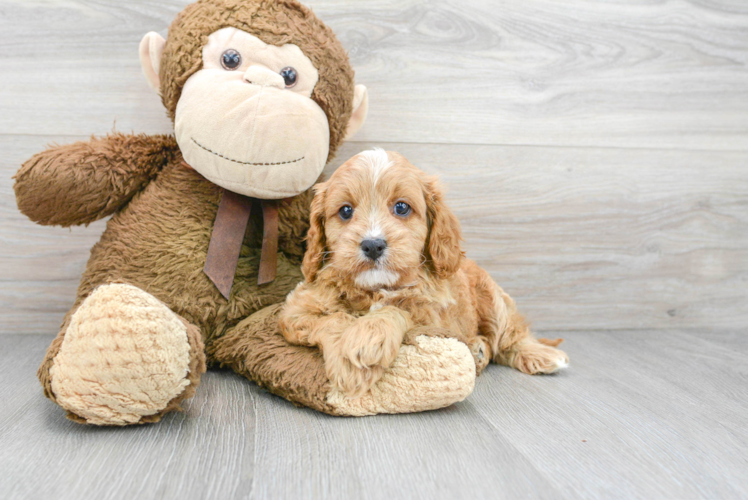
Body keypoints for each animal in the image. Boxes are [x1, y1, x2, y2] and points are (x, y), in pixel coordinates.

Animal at [280, 147, 568, 394]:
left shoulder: (434, 317)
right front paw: (348, 359)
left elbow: (399, 309)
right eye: (345, 211)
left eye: (401, 207)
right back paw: (479, 350)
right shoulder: (294, 311)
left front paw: (367, 337)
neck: (376, 289)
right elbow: (335, 318)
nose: (373, 245)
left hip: (494, 300)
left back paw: (540, 354)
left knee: (510, 336)